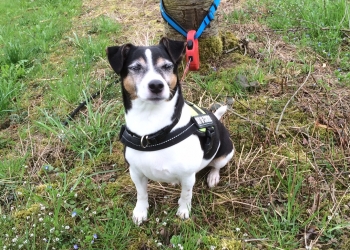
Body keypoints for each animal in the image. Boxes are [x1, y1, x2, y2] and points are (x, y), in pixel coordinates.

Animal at [105, 37, 234, 225]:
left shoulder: (188, 176)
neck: (151, 127)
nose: (156, 85)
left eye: (166, 66)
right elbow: (141, 194)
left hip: (225, 154)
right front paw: (140, 211)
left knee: (216, 165)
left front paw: (184, 211)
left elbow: (186, 195)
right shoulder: (135, 172)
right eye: (136, 67)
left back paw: (213, 176)